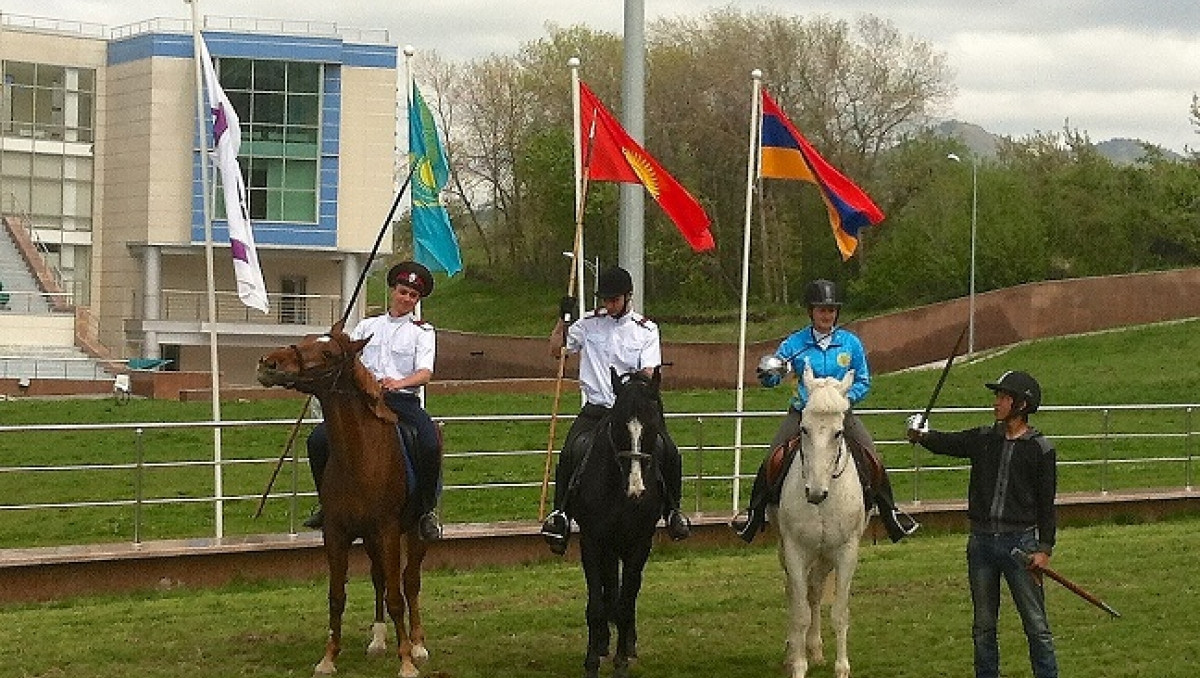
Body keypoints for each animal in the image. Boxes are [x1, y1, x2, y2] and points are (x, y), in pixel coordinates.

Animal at [258, 321, 432, 676]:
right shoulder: (336, 533)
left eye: (327, 353)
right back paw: (378, 640)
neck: (359, 456)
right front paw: (329, 657)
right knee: (380, 579)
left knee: (410, 582)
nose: (269, 363)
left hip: (413, 533)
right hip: (370, 538)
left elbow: (397, 596)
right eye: (307, 340)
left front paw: (406, 659)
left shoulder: (388, 531)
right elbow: (337, 596)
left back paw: (418, 643)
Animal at [568, 367, 672, 676]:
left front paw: (622, 660)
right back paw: (603, 642)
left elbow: (626, 603)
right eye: (617, 425)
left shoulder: (640, 544)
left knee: (627, 593)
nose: (636, 490)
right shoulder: (592, 542)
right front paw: (592, 660)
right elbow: (596, 605)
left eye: (653, 425)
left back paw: (627, 644)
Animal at [772, 364, 868, 676]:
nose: (814, 493)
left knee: (814, 590)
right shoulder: (795, 550)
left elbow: (839, 612)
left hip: (825, 555)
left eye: (838, 432)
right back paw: (796, 650)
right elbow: (800, 610)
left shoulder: (847, 552)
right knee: (797, 593)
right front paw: (798, 665)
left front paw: (841, 668)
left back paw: (814, 649)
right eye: (804, 428)